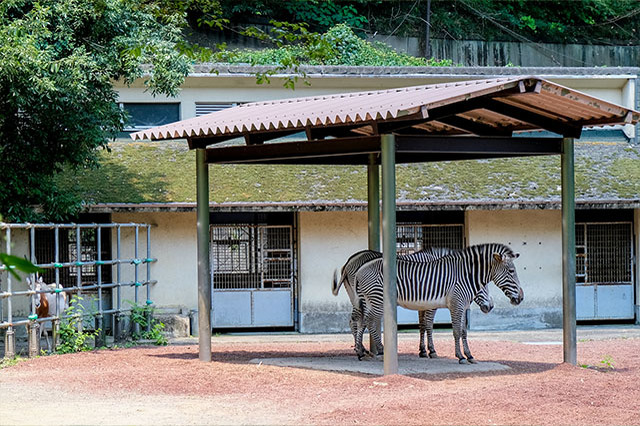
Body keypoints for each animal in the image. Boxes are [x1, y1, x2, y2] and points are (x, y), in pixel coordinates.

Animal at [352, 243, 524, 362]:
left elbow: (463, 331)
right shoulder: (455, 305)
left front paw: (469, 355)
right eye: (511, 271)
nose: (521, 298)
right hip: (377, 299)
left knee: (363, 321)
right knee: (369, 321)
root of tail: (360, 270)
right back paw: (380, 350)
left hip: (368, 299)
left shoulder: (461, 306)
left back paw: (361, 352)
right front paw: (459, 356)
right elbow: (453, 331)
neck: (464, 275)